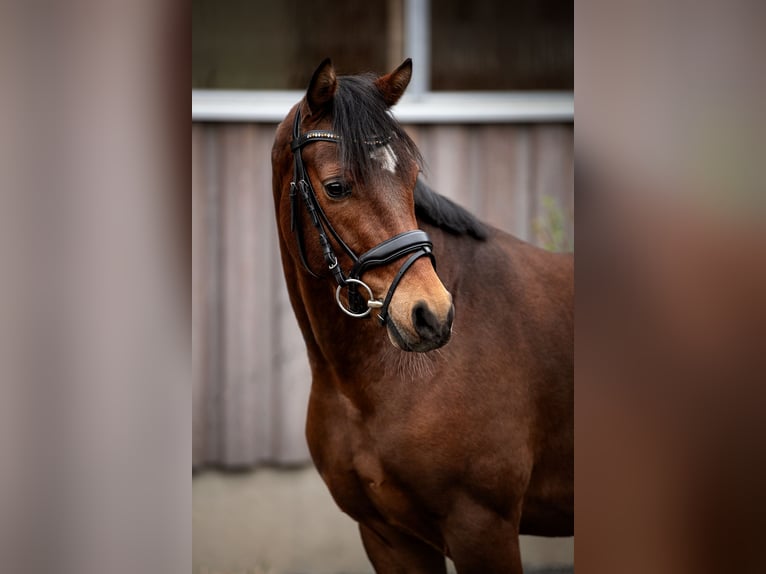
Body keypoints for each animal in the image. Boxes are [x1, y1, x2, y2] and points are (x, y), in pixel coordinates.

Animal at [272, 59, 572, 574]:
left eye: (412, 180)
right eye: (336, 187)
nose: (432, 315)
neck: (367, 387)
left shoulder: (483, 528)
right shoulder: (389, 538)